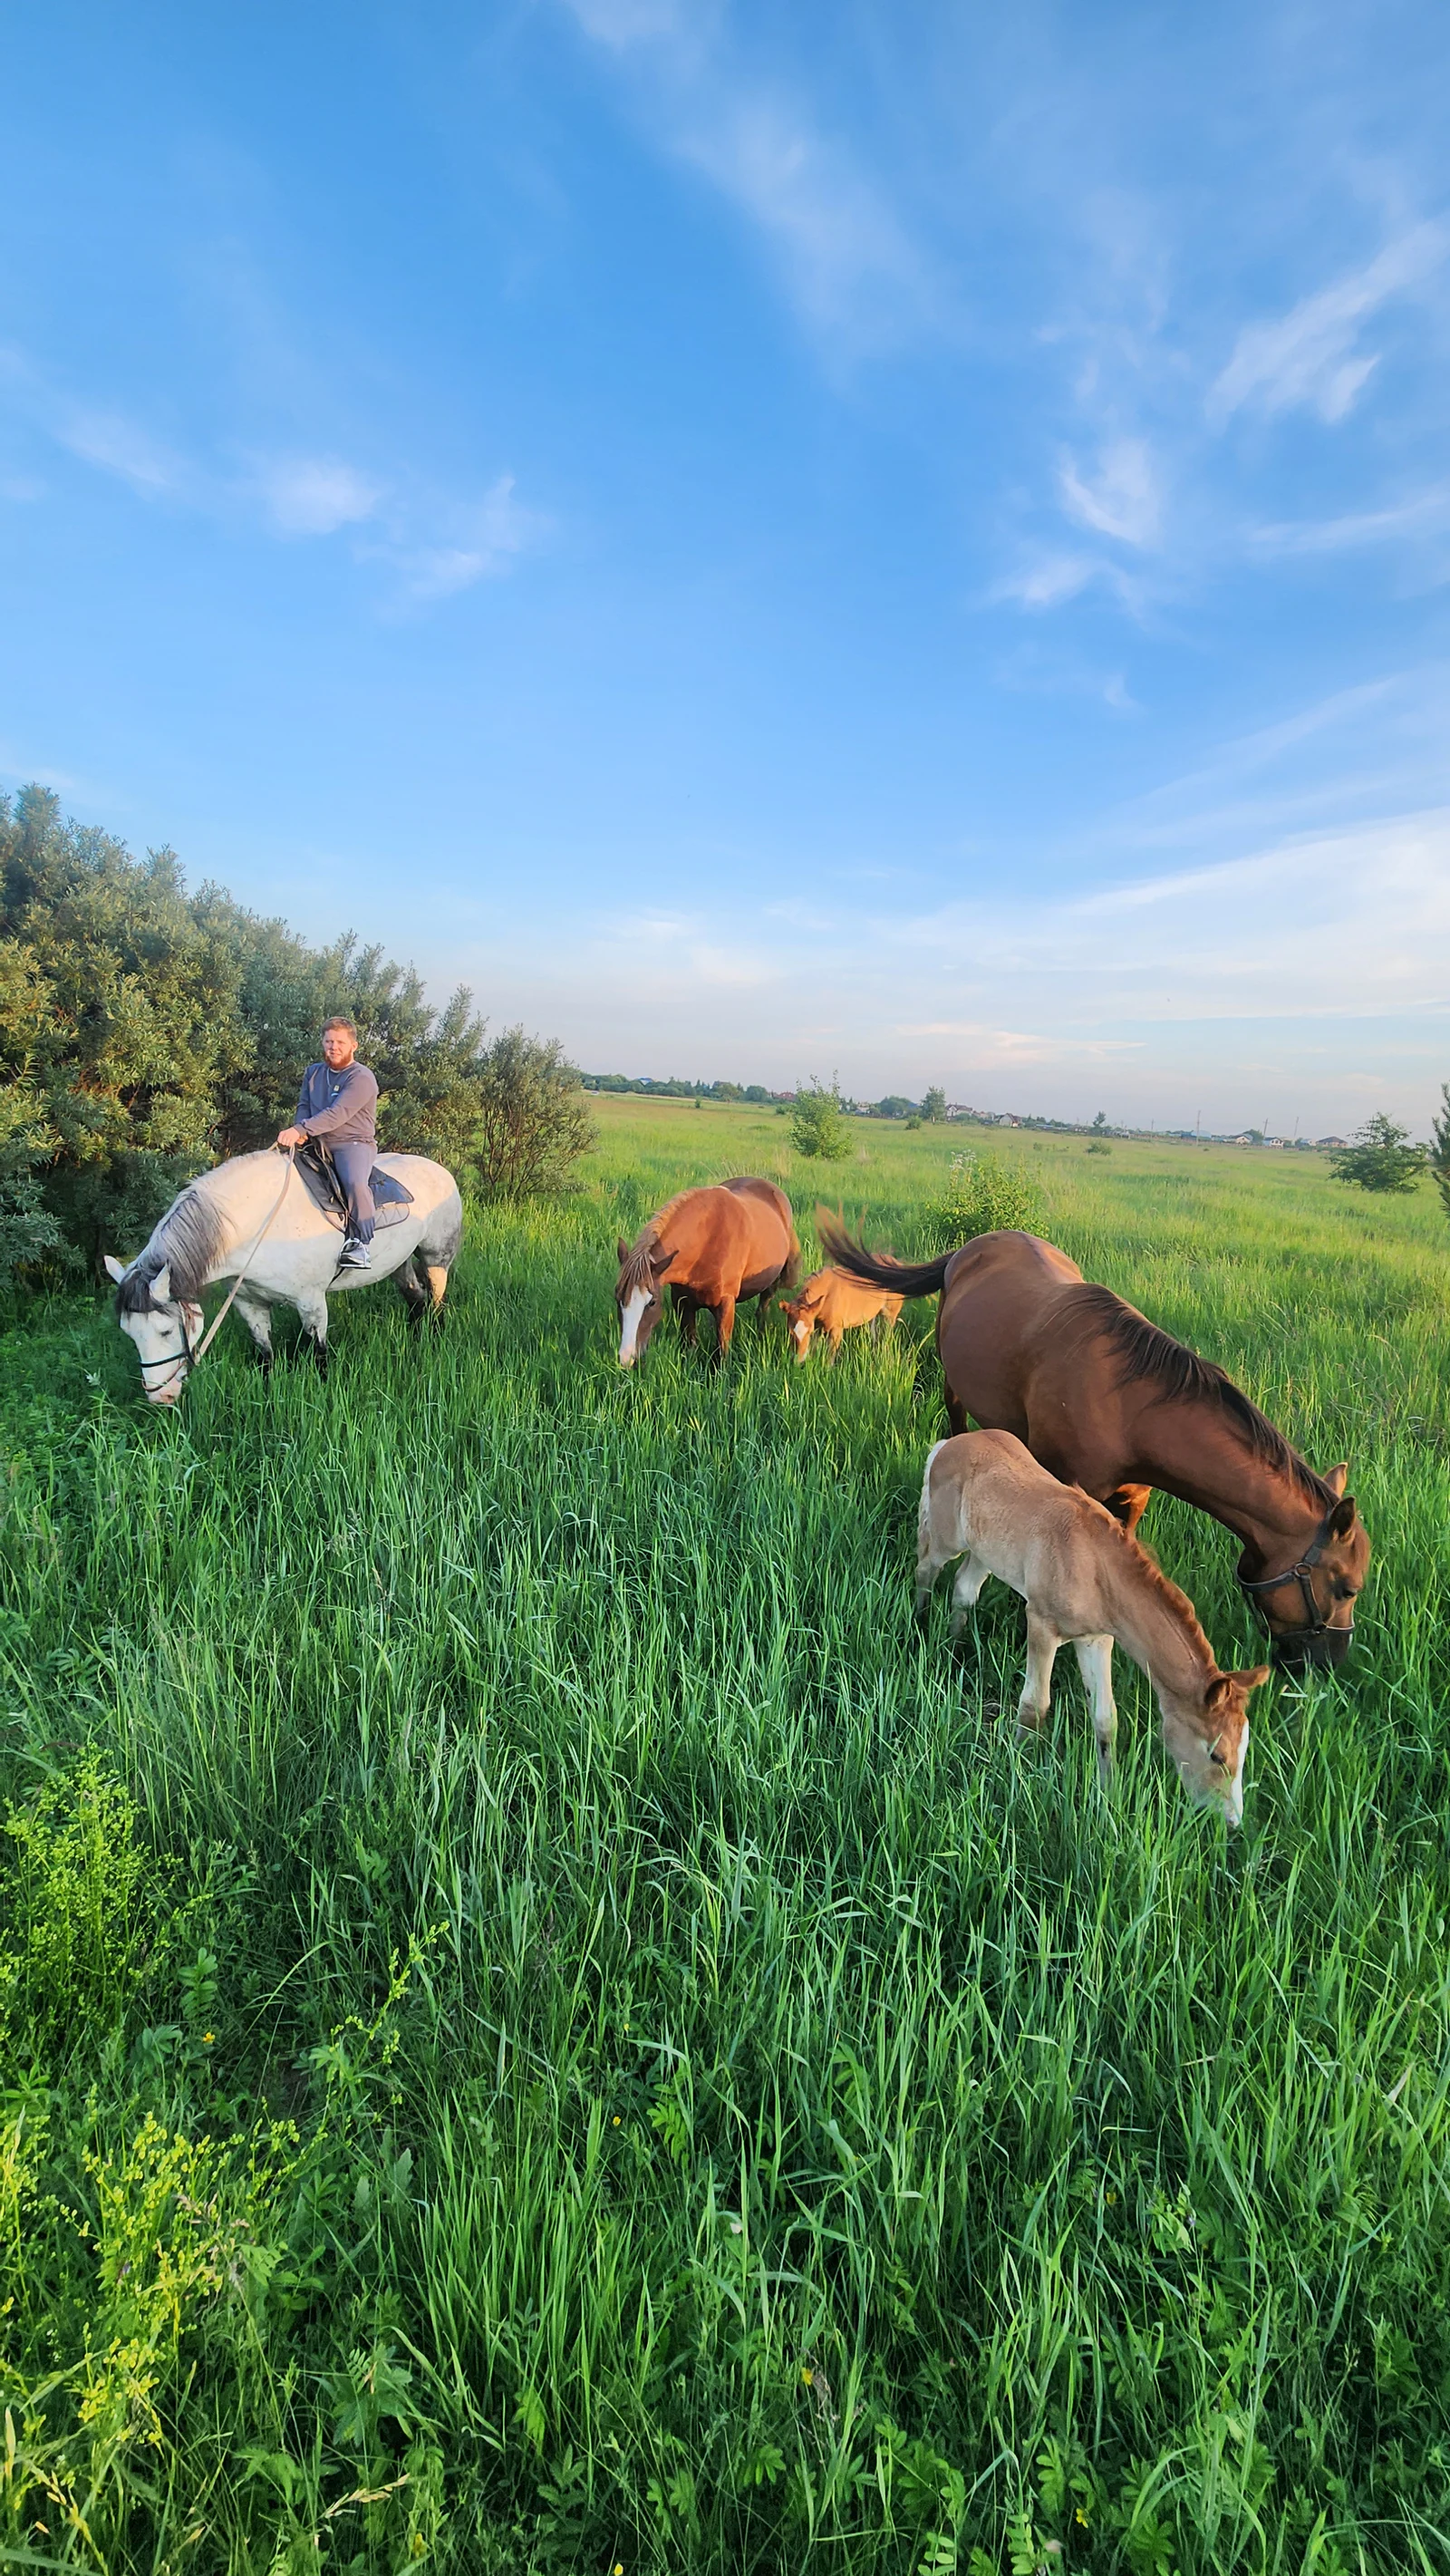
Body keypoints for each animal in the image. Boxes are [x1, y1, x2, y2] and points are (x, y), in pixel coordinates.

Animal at [105, 1147, 463, 1403]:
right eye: (128, 1333)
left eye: (166, 1331)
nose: (161, 1397)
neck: (258, 1226)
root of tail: (440, 1170)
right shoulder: (249, 1303)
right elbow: (265, 1353)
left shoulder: (311, 1302)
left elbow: (319, 1354)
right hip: (399, 1263)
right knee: (415, 1299)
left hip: (436, 1258)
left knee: (435, 1301)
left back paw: (434, 1341)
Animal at [615, 1177, 800, 1368]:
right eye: (617, 1297)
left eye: (652, 1303)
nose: (626, 1358)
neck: (707, 1241)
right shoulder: (682, 1301)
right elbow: (689, 1345)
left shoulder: (726, 1303)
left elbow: (721, 1352)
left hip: (770, 1284)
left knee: (762, 1308)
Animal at [780, 1266, 903, 1362]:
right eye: (790, 1332)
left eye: (808, 1332)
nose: (799, 1360)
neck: (828, 1293)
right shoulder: (818, 1327)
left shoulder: (836, 1329)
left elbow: (830, 1357)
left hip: (889, 1317)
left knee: (886, 1338)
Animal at [819, 1219, 1369, 1670]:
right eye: (1347, 1587)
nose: (1330, 1664)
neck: (1131, 1410)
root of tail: (970, 1248)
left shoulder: (1132, 1502)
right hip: (955, 1387)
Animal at [916, 1428, 1269, 1825]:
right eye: (1217, 1755)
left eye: (1244, 1749)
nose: (1232, 1821)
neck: (1095, 1566)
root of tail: (949, 1444)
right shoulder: (1041, 1624)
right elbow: (1035, 1705)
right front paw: (1018, 1768)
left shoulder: (1096, 1640)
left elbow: (1105, 1718)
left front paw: (1108, 1795)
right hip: (948, 1540)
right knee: (926, 1568)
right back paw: (920, 1625)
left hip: (986, 1552)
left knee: (964, 1589)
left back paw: (953, 1645)